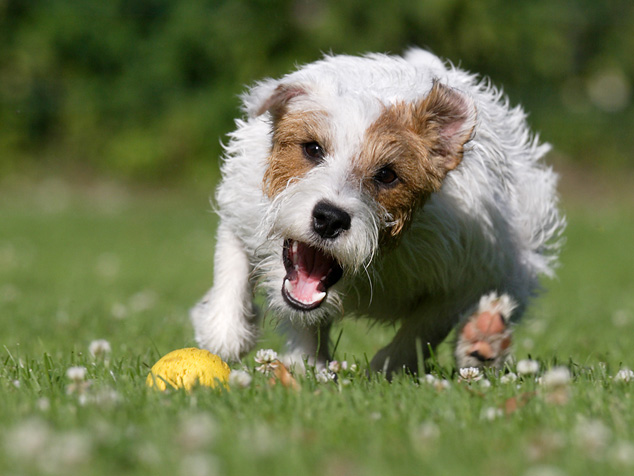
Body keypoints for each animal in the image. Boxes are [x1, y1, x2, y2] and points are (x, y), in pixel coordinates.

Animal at [189, 48, 564, 376]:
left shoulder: (473, 267)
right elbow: (233, 264)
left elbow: (426, 324)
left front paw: (388, 367)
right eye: (312, 149)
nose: (330, 218)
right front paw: (226, 331)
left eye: (387, 174)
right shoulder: (243, 208)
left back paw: (485, 336)